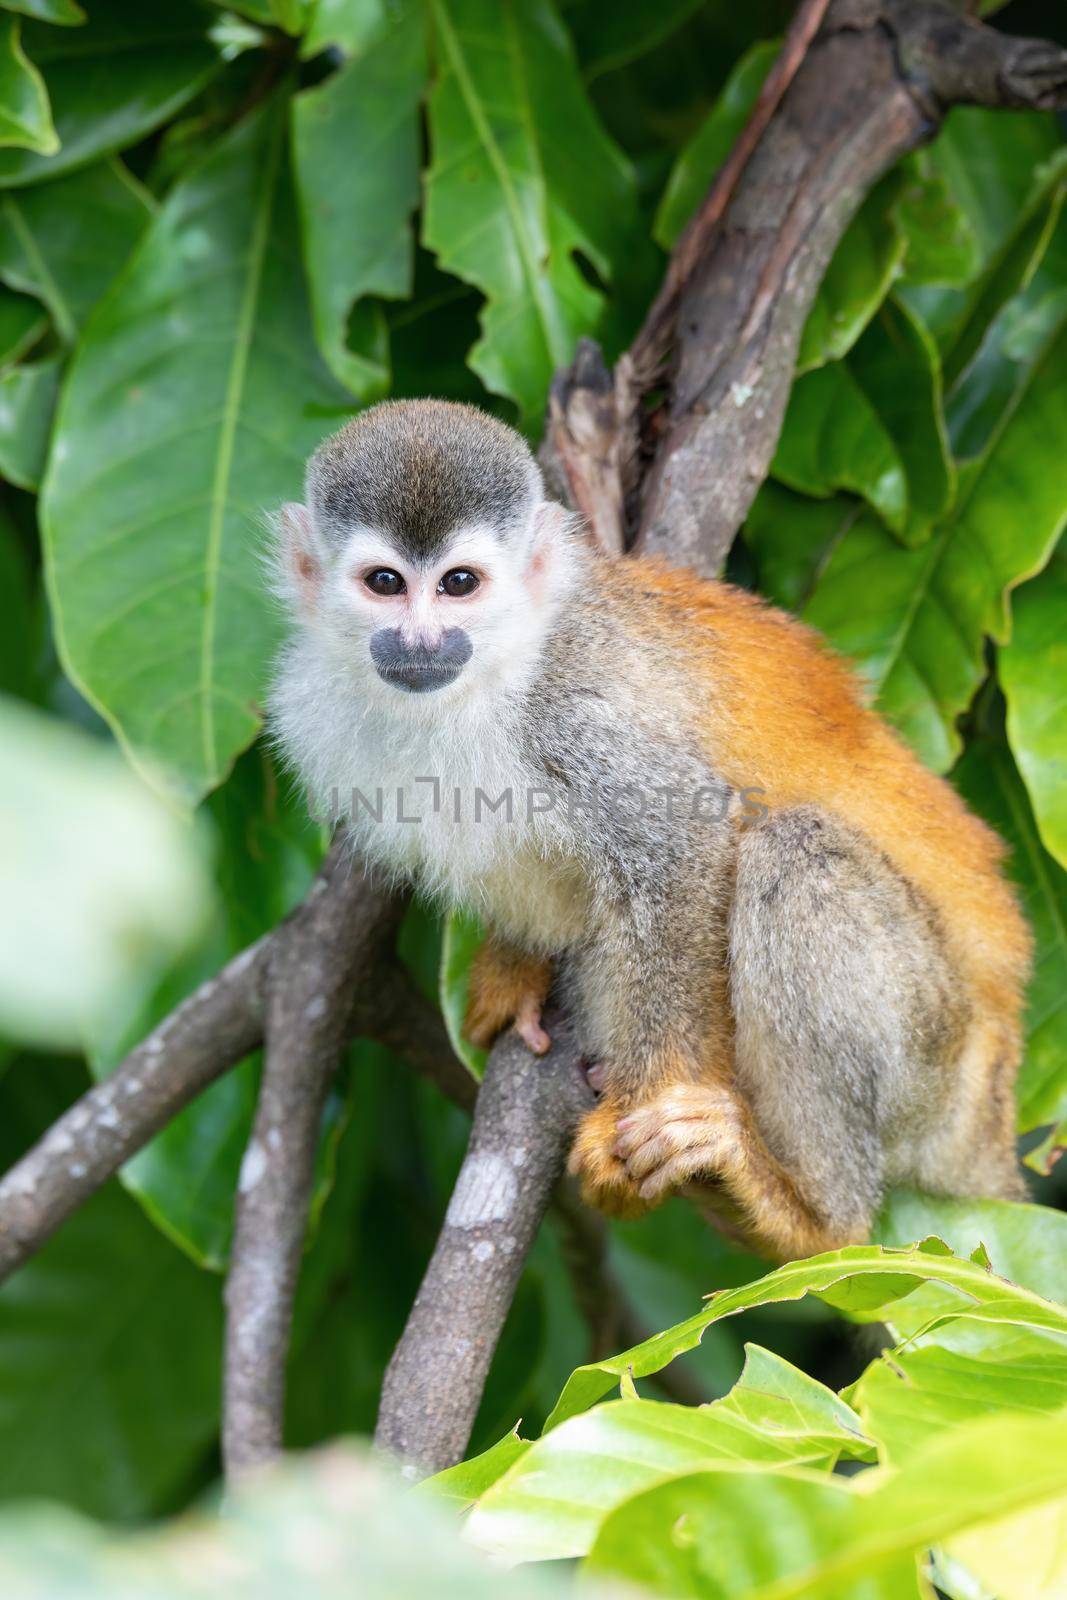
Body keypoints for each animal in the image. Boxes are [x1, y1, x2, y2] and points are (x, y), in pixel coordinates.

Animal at [271, 396, 1030, 1260]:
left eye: (459, 584)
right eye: (385, 584)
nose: (421, 641)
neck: (493, 671)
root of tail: (995, 1097)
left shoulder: (575, 712)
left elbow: (683, 845)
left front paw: (648, 1102)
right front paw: (514, 963)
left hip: (933, 1057)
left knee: (793, 854)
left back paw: (805, 1213)